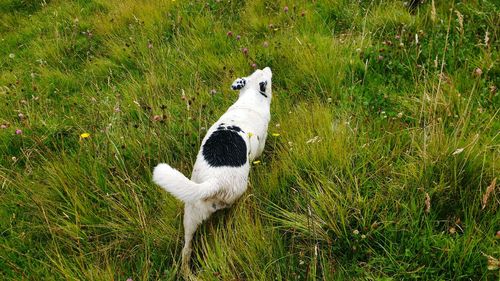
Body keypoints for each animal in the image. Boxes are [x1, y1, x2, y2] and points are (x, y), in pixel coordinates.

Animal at [153, 66, 274, 276]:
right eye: (264, 73)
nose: (268, 67)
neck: (250, 98)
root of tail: (213, 182)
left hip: (190, 216)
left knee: (186, 250)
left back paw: (188, 273)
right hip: (234, 197)